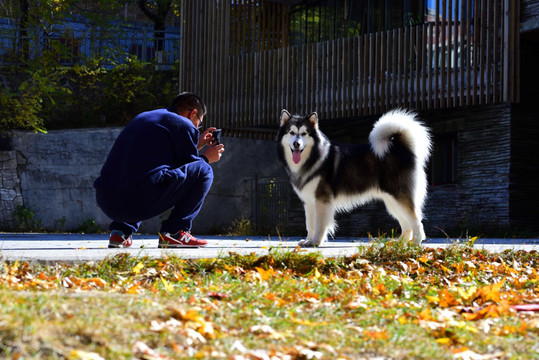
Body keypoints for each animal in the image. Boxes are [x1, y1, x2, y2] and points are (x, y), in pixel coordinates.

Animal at [278, 108, 434, 246]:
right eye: (292, 132)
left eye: (304, 133)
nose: (296, 144)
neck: (313, 157)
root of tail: (401, 148)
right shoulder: (309, 202)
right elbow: (310, 224)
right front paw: (308, 240)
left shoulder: (322, 200)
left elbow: (319, 225)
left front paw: (316, 242)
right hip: (392, 201)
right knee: (406, 223)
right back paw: (401, 243)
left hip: (399, 196)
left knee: (416, 220)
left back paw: (416, 242)